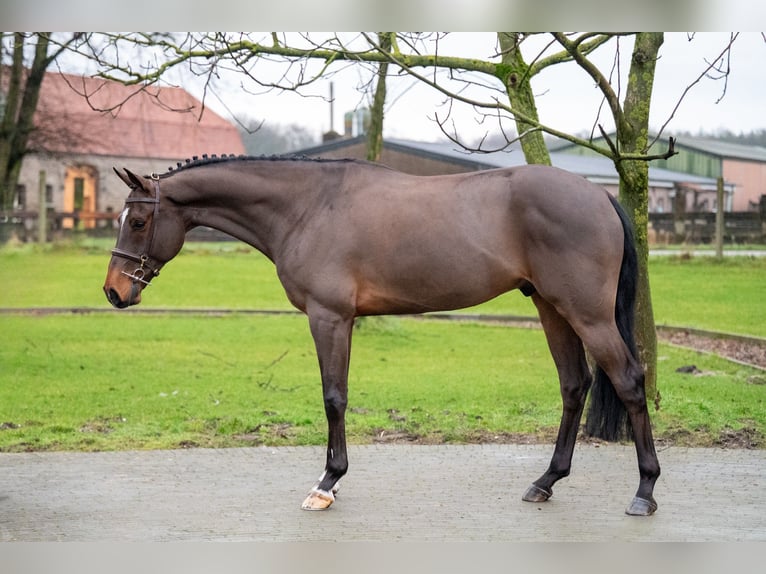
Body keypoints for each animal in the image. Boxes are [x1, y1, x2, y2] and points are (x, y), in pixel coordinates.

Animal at [103, 156, 660, 516]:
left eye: (139, 220)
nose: (113, 292)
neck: (307, 207)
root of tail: (598, 194)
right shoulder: (341, 319)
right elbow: (338, 396)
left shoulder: (329, 317)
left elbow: (333, 397)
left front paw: (327, 484)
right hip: (550, 307)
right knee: (574, 385)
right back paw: (545, 482)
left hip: (586, 313)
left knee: (630, 381)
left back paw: (645, 491)